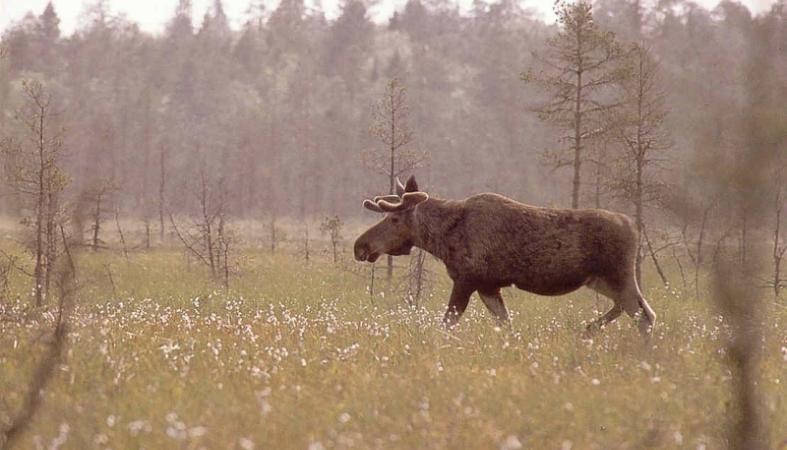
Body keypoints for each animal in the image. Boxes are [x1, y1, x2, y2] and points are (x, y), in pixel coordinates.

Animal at [354, 174, 656, 336]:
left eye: (394, 219)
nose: (360, 246)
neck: (443, 238)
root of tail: (635, 228)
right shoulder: (488, 286)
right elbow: (506, 326)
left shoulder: (466, 281)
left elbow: (446, 325)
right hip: (601, 280)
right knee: (639, 311)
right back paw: (589, 329)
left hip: (618, 276)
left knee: (644, 316)